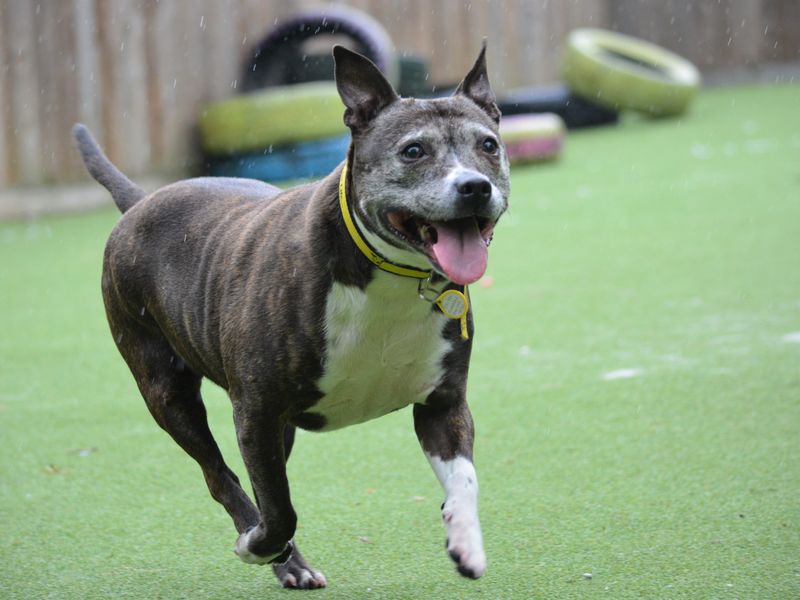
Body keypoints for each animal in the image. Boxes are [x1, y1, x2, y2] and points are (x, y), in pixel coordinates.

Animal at [76, 44, 512, 588]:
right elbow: (280, 511)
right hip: (167, 393)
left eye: (488, 145)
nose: (475, 186)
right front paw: (258, 545)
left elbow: (466, 480)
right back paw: (271, 550)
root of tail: (142, 201)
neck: (387, 275)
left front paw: (466, 541)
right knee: (223, 477)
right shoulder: (256, 412)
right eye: (413, 151)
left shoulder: (442, 405)